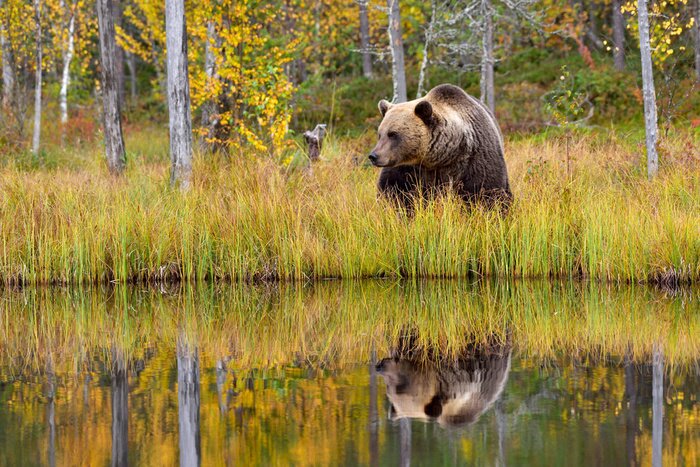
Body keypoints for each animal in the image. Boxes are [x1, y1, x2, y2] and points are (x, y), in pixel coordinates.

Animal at [368, 84, 512, 211]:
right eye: (380, 134)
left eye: (393, 134)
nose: (373, 156)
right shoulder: (406, 168)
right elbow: (394, 192)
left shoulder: (475, 159)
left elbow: (486, 192)